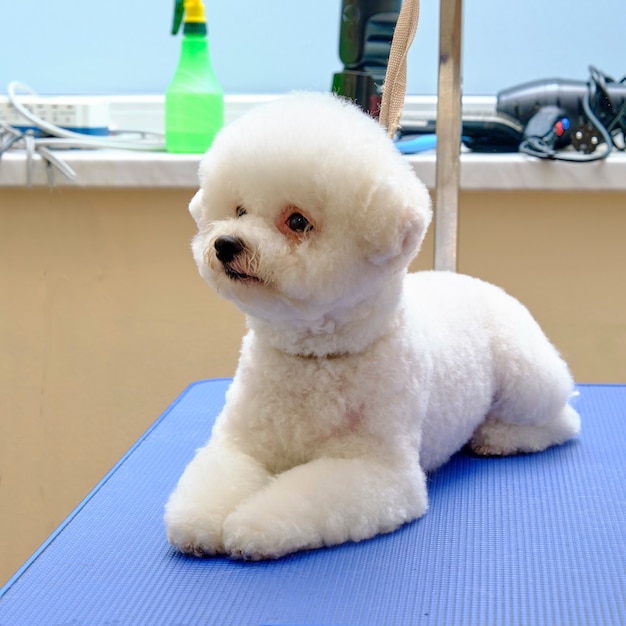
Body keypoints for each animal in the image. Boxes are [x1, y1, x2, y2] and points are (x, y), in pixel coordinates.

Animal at [162, 90, 580, 560]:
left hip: (525, 376)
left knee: (562, 421)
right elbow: (217, 478)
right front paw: (201, 520)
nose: (226, 244)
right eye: (238, 210)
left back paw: (498, 436)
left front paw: (254, 525)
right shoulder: (241, 444)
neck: (314, 359)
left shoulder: (378, 472)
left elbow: (302, 497)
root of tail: (472, 281)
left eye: (297, 221)